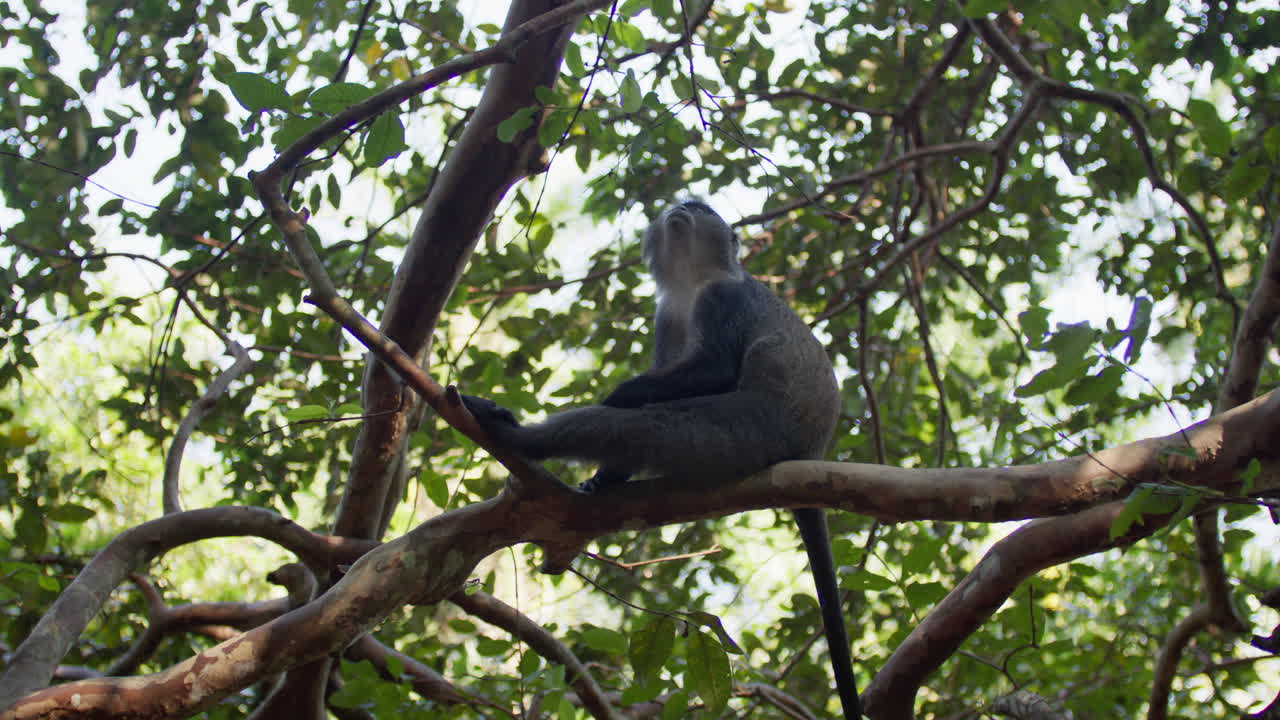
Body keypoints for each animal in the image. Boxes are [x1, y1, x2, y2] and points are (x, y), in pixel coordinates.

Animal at [463, 199, 861, 718]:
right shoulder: (668, 315)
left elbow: (711, 370)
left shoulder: (722, 299)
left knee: (641, 427)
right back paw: (603, 476)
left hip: (753, 428)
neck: (691, 279)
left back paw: (519, 438)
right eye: (686, 203)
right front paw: (604, 470)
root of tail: (812, 447)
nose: (683, 207)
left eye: (702, 207)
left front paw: (618, 396)